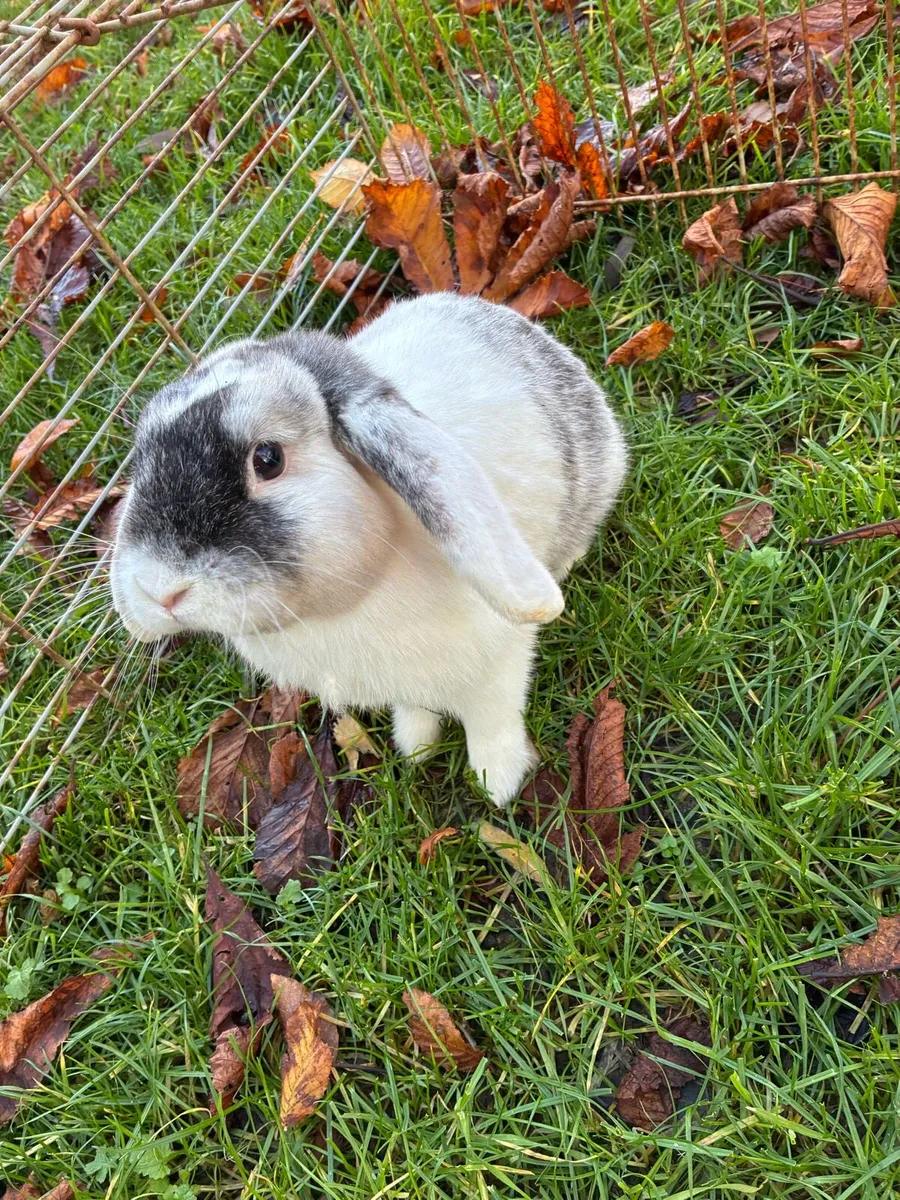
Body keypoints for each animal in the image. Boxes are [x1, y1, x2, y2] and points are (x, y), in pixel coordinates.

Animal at [110, 292, 627, 806]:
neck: (342, 609)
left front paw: (497, 783)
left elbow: (493, 724)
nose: (160, 591)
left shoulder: (499, 670)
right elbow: (418, 709)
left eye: (268, 459)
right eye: (143, 456)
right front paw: (415, 747)